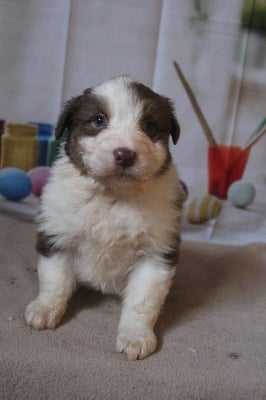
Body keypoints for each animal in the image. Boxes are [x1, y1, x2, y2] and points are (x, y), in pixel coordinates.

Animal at [24, 75, 183, 360]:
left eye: (149, 126)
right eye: (98, 120)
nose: (125, 154)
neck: (113, 196)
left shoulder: (156, 252)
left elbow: (143, 301)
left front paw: (135, 336)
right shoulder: (58, 235)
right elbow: (55, 280)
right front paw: (45, 309)